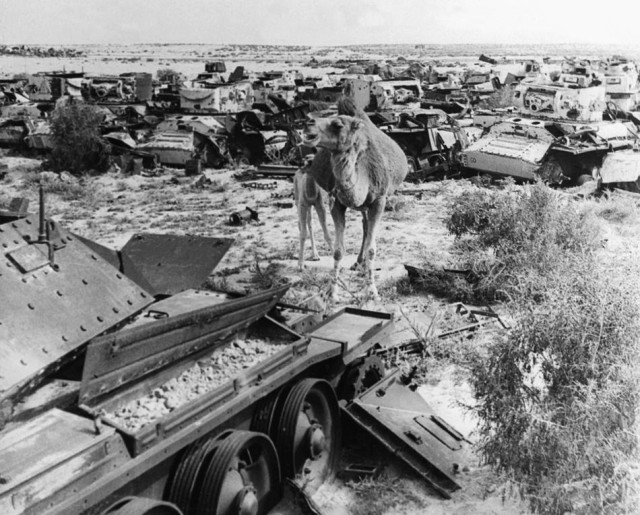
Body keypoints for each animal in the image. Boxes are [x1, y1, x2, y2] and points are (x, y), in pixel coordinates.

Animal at [302, 98, 408, 298]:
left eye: (337, 125)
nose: (308, 124)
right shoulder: (336, 202)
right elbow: (338, 251)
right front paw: (332, 291)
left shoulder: (379, 201)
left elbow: (372, 249)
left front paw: (372, 291)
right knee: (364, 226)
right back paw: (358, 263)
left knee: (366, 228)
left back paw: (362, 264)